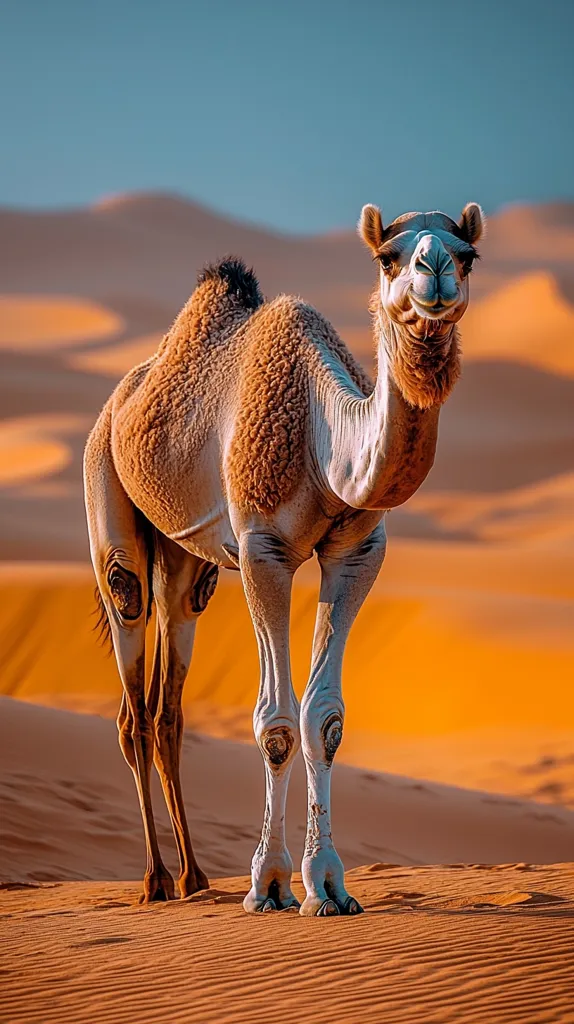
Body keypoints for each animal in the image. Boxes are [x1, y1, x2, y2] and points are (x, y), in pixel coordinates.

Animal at [84, 201, 484, 915]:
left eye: (468, 255)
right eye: (388, 256)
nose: (434, 268)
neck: (324, 441)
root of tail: (122, 396)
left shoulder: (357, 551)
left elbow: (323, 717)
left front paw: (328, 887)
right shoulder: (263, 549)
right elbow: (274, 722)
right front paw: (268, 886)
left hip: (187, 563)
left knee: (167, 704)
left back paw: (194, 877)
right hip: (106, 493)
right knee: (130, 675)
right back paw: (155, 880)